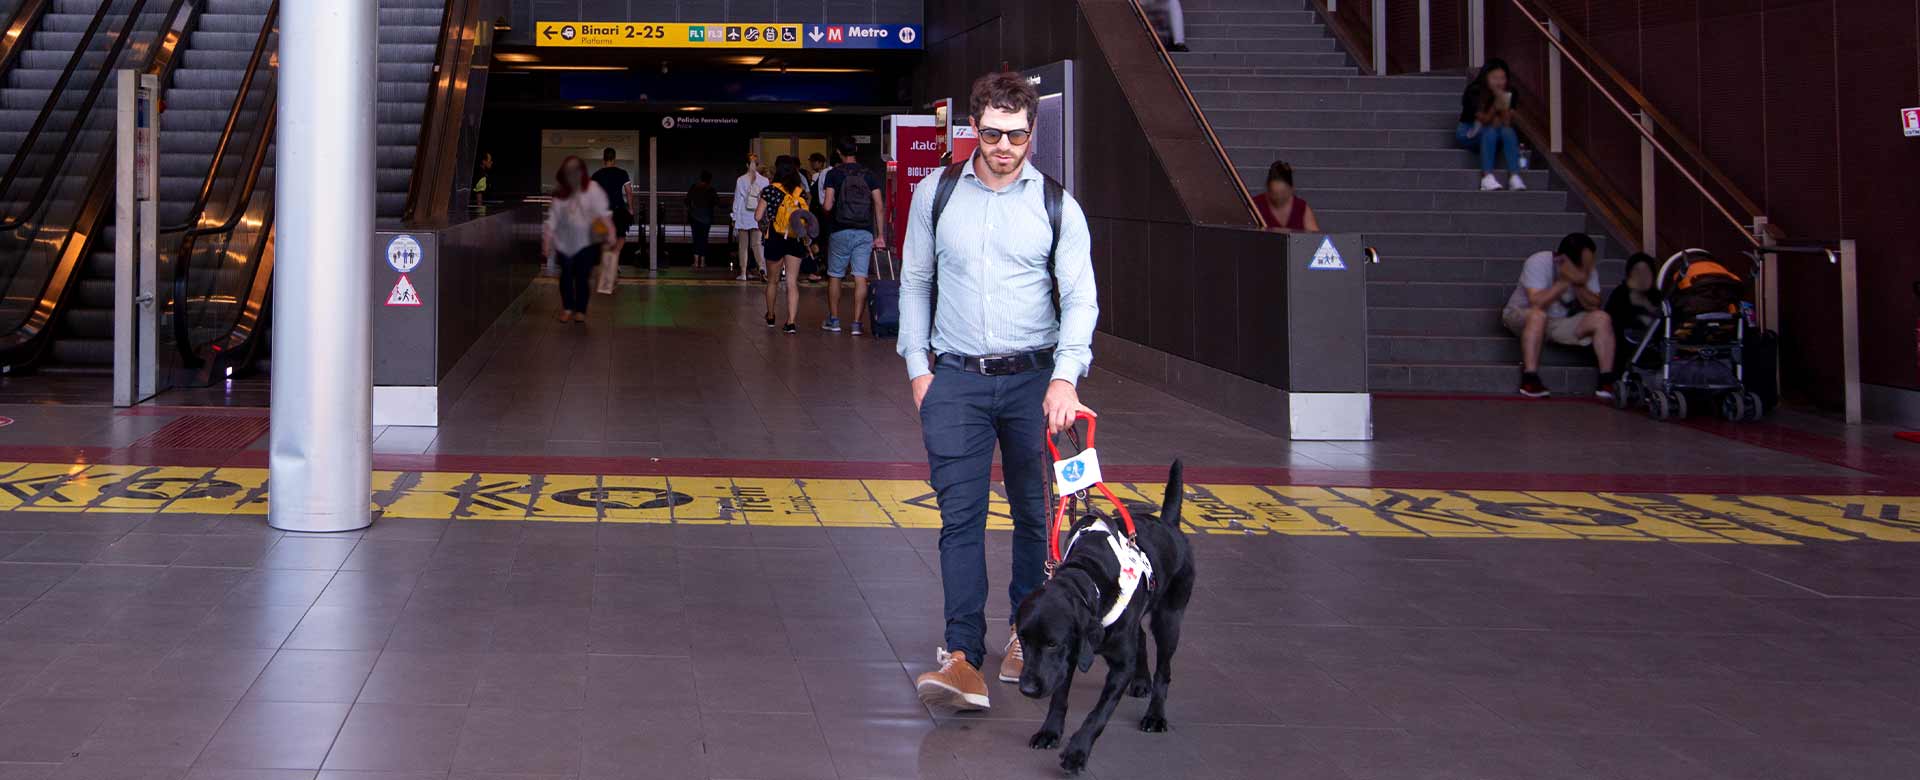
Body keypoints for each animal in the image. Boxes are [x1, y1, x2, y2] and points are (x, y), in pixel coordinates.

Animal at [1013, 459, 1190, 772]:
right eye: (1023, 639)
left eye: (1052, 643)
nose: (1028, 689)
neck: (1089, 577)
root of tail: (1169, 523)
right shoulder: (1071, 655)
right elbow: (1059, 698)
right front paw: (1050, 732)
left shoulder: (1117, 666)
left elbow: (1098, 714)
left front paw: (1077, 752)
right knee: (1140, 636)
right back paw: (1141, 682)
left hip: (1169, 619)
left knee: (1164, 669)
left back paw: (1155, 714)